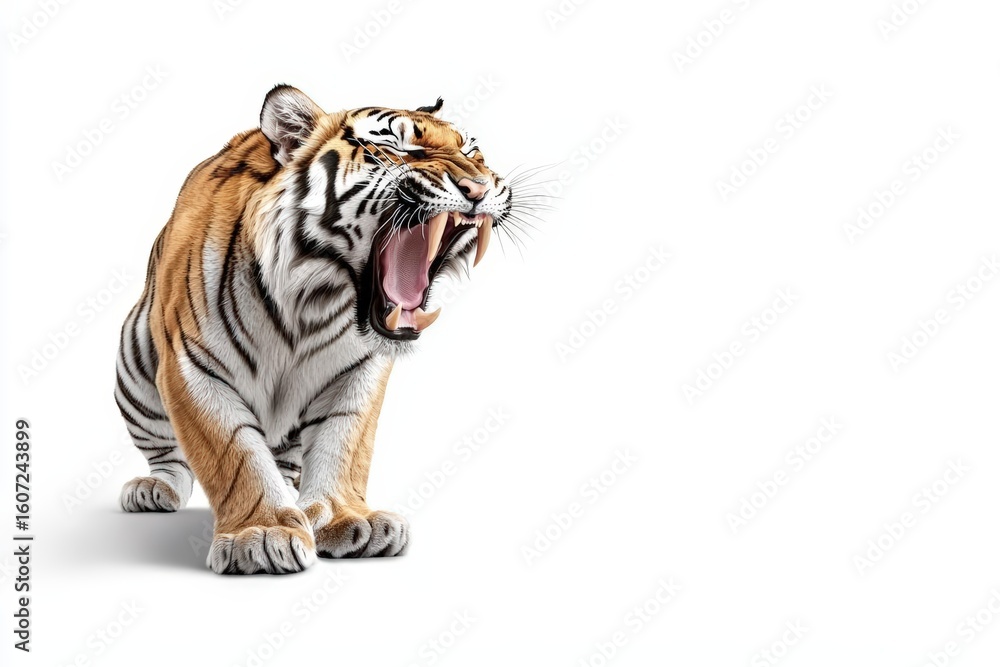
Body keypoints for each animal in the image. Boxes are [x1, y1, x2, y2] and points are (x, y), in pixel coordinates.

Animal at [114, 85, 523, 574]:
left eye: (472, 151)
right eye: (399, 145)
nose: (479, 187)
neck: (312, 302)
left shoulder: (359, 372)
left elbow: (342, 445)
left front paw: (346, 520)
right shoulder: (191, 367)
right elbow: (234, 452)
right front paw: (262, 534)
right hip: (134, 366)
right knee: (168, 455)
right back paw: (155, 489)